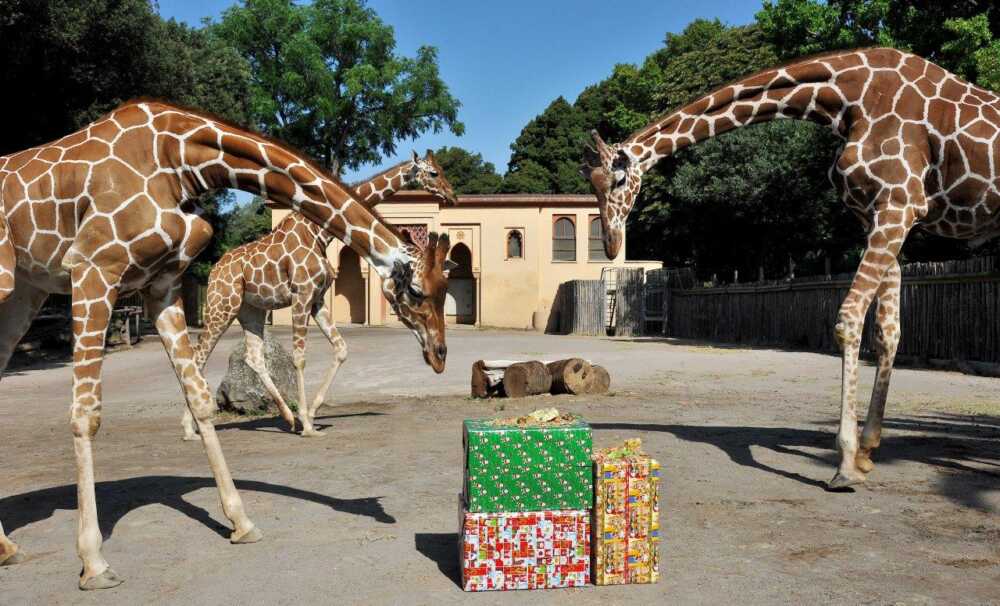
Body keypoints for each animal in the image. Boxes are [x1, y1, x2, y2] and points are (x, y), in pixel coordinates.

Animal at [184, 150, 458, 440]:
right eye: (433, 173)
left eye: (442, 170)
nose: (452, 196)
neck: (318, 231)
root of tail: (215, 270)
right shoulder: (301, 294)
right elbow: (299, 358)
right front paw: (307, 424)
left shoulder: (316, 299)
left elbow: (341, 348)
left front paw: (311, 416)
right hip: (221, 305)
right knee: (199, 356)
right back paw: (191, 428)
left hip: (251, 309)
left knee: (253, 357)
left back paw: (286, 416)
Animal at [580, 50, 1000, 492]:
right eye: (590, 186)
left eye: (618, 179)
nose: (611, 245)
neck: (846, 101)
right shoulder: (879, 216)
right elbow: (888, 332)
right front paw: (867, 452)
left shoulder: (899, 206)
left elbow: (849, 319)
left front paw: (845, 462)